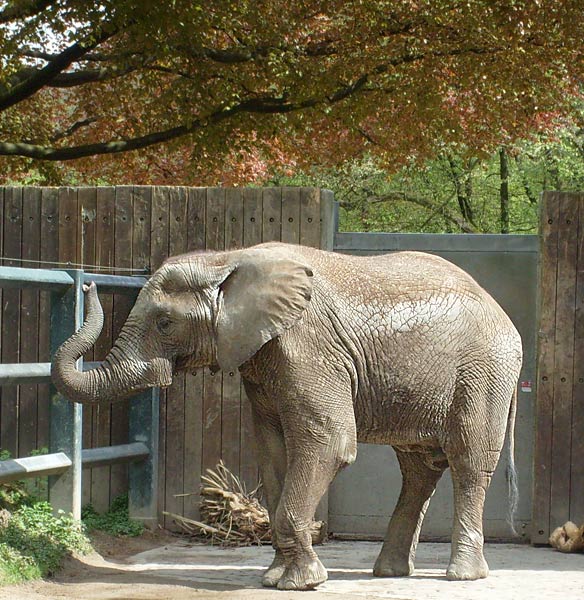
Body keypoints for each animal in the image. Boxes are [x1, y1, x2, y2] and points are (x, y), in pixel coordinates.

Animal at [52, 243, 524, 592]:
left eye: (165, 322)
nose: (88, 282)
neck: (228, 259)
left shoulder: (307, 345)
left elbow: (331, 442)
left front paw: (302, 583)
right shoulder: (262, 359)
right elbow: (272, 449)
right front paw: (274, 578)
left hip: (484, 371)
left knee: (468, 462)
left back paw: (462, 576)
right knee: (418, 468)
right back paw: (389, 572)